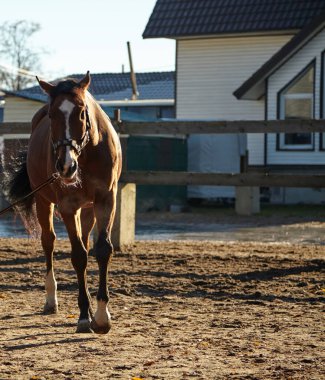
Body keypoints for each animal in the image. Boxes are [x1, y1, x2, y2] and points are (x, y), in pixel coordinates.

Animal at [7, 71, 121, 332]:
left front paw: (101, 315)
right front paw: (84, 317)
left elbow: (102, 250)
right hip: (44, 202)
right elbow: (78, 256)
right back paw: (51, 300)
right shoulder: (68, 206)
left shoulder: (106, 200)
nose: (66, 166)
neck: (86, 155)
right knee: (48, 242)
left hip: (87, 210)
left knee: (85, 241)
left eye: (81, 111)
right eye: (52, 115)